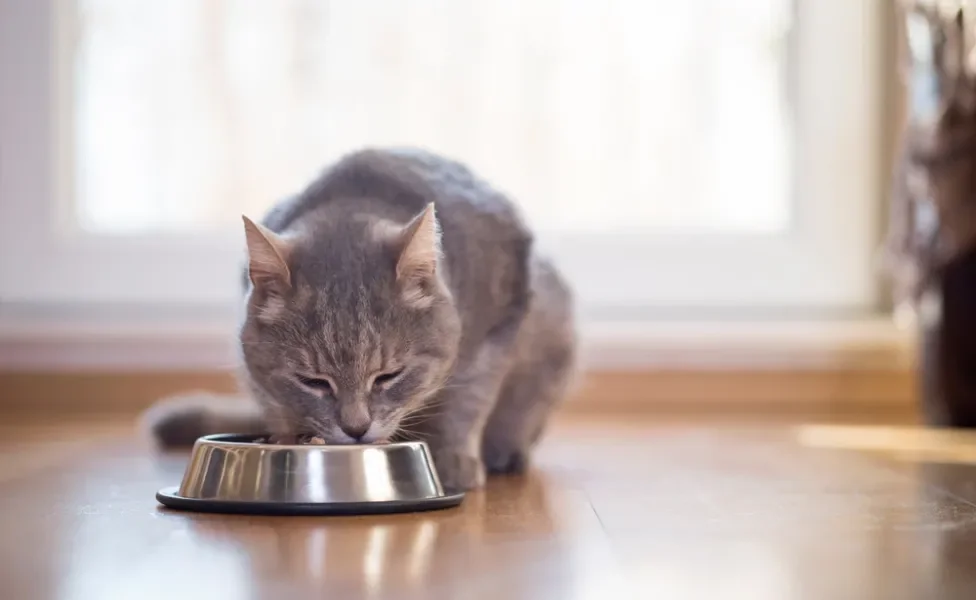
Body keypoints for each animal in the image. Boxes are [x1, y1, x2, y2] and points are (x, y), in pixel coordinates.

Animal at [141, 146, 576, 492]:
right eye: (313, 381)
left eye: (389, 376)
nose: (356, 429)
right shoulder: (258, 373)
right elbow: (276, 402)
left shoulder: (497, 329)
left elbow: (468, 400)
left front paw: (454, 460)